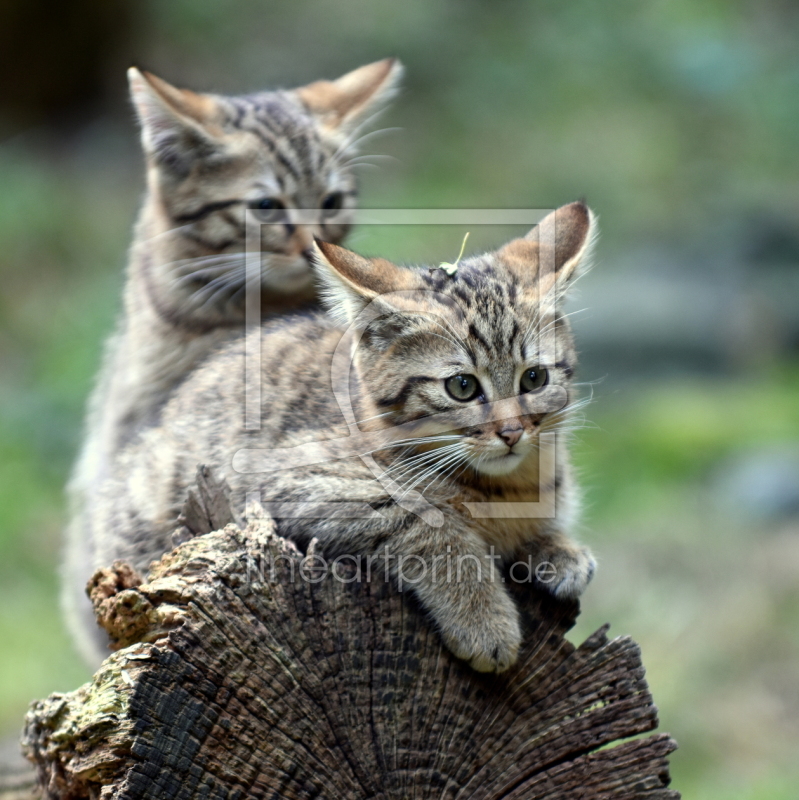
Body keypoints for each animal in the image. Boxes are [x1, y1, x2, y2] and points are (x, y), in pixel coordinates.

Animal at [81, 200, 596, 668]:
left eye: (534, 379)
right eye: (463, 386)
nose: (511, 432)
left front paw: (557, 549)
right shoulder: (275, 479)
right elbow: (424, 521)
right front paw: (483, 619)